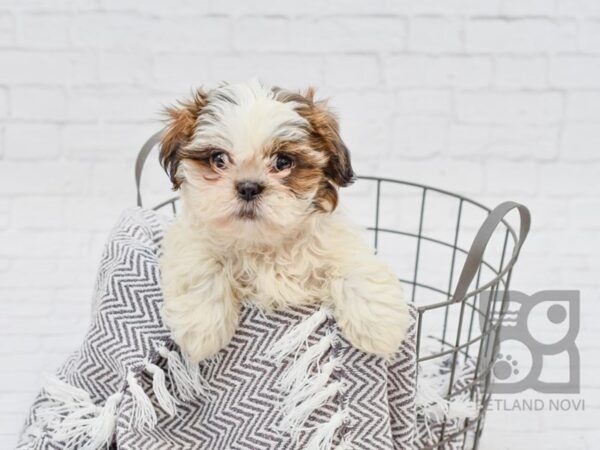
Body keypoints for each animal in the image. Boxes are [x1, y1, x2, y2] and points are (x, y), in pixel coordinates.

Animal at [157, 79, 410, 364]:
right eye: (218, 159)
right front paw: (202, 330)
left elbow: (357, 266)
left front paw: (378, 326)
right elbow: (200, 264)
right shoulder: (190, 240)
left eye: (282, 162)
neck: (264, 242)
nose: (248, 187)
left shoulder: (338, 241)